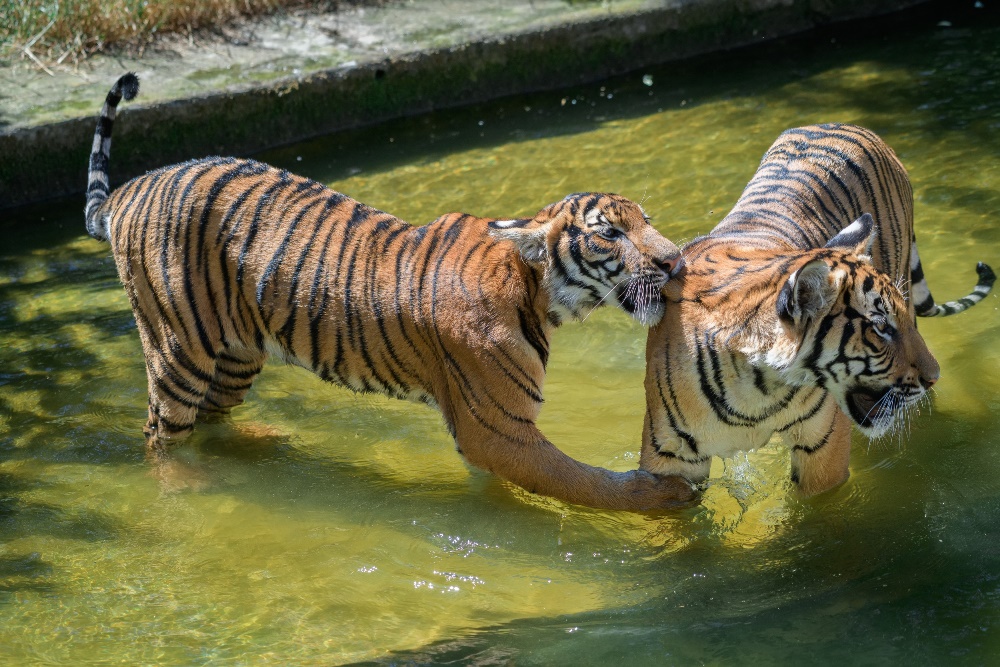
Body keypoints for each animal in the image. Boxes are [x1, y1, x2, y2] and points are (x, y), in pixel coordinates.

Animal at [84, 73, 696, 512]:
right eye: (610, 234)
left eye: (645, 220)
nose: (676, 261)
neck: (538, 292)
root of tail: (130, 189)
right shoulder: (499, 428)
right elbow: (584, 481)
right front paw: (662, 496)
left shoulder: (487, 432)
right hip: (178, 349)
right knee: (159, 433)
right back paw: (186, 485)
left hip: (235, 353)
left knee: (211, 418)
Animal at [640, 122, 992, 496]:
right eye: (880, 327)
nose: (934, 376)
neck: (757, 391)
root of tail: (846, 124)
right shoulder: (669, 456)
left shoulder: (823, 443)